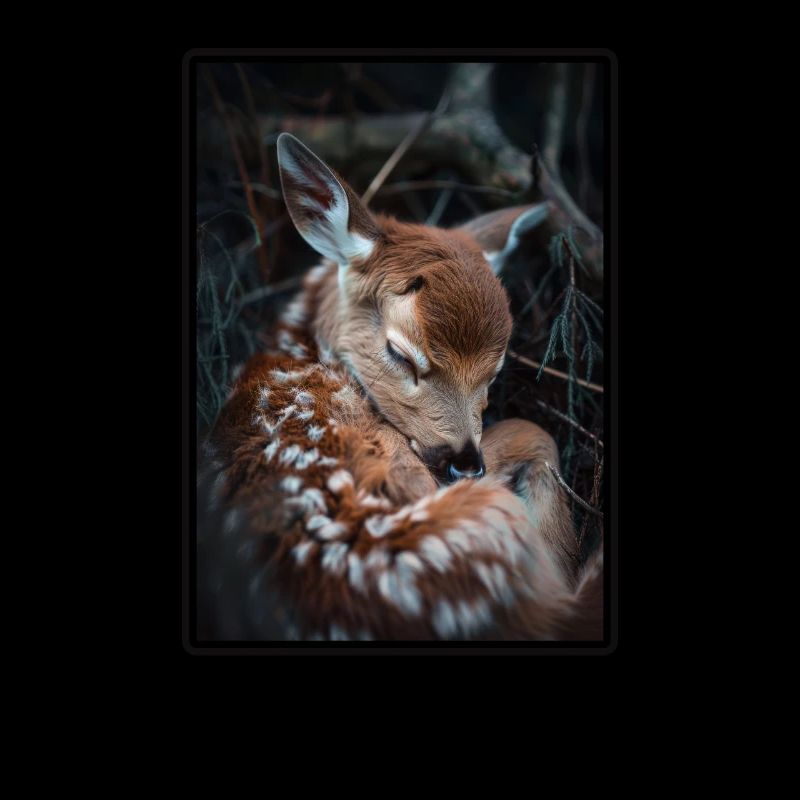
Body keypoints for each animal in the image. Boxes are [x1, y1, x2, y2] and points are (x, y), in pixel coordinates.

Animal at [198, 132, 603, 642]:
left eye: (495, 371)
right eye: (400, 353)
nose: (465, 463)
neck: (301, 349)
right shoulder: (407, 464)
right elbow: (533, 431)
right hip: (483, 519)